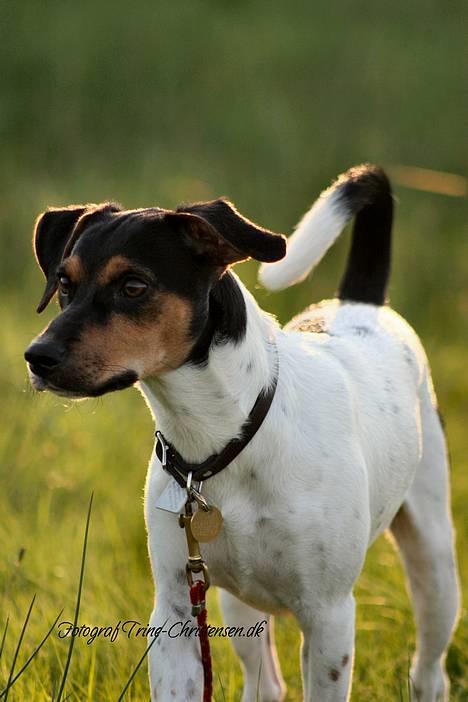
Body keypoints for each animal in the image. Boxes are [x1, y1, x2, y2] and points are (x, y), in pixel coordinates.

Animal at [23, 164, 458, 700]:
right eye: (64, 282)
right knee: (264, 682)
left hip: (434, 564)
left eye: (134, 286)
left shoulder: (330, 617)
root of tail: (361, 306)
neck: (223, 442)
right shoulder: (176, 611)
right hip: (237, 605)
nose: (37, 357)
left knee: (428, 668)